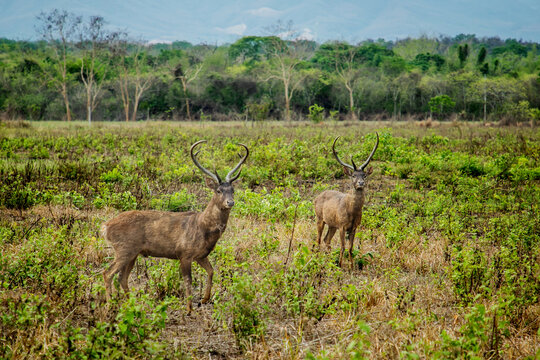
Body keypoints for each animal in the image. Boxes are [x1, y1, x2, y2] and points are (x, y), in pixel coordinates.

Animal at [101, 139, 249, 314]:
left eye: (233, 190)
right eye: (218, 190)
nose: (230, 202)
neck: (203, 228)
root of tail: (105, 227)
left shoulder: (201, 255)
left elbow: (211, 271)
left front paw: (204, 299)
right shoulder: (184, 253)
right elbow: (188, 281)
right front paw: (189, 308)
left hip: (133, 253)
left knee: (122, 278)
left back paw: (133, 305)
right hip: (124, 248)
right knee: (107, 273)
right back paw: (110, 306)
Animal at [314, 134, 378, 268]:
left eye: (364, 175)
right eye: (353, 175)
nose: (361, 183)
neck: (352, 211)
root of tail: (316, 198)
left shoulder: (354, 227)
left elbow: (350, 248)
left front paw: (352, 266)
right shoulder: (342, 225)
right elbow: (343, 247)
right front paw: (340, 264)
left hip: (332, 224)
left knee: (326, 240)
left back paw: (329, 261)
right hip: (319, 218)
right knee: (318, 239)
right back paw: (317, 259)